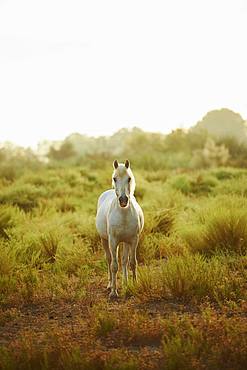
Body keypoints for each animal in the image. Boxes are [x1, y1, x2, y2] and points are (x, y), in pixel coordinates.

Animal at [95, 159, 144, 298]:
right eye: (114, 178)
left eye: (129, 178)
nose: (123, 200)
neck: (124, 214)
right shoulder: (113, 241)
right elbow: (114, 266)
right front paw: (113, 292)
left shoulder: (133, 240)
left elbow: (132, 262)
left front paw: (133, 285)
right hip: (105, 240)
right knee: (109, 260)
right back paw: (110, 284)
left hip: (125, 242)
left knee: (124, 261)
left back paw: (125, 284)